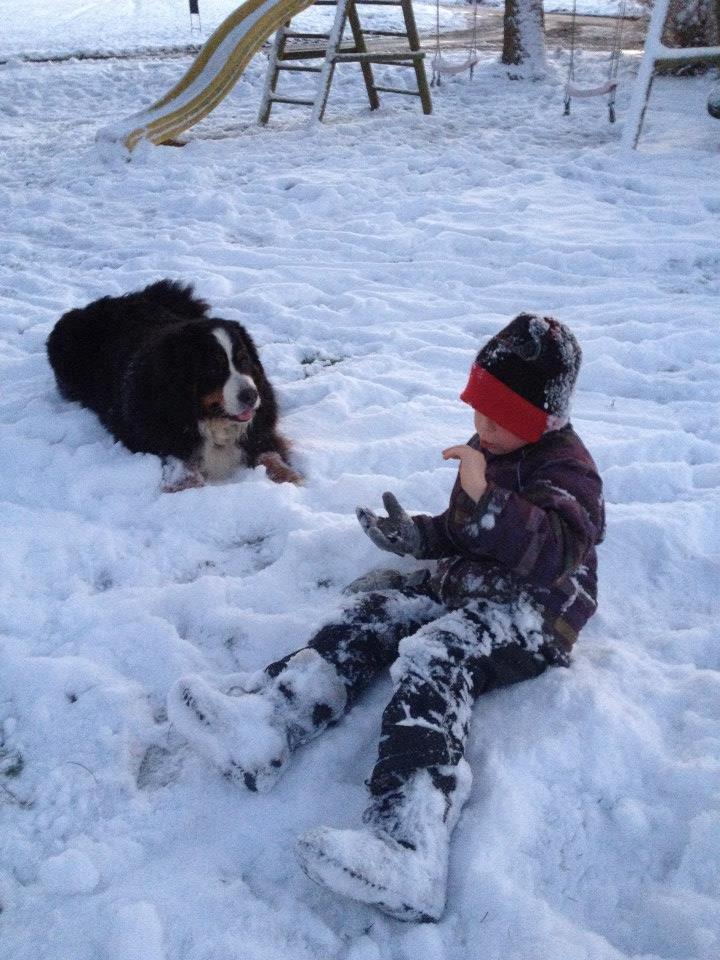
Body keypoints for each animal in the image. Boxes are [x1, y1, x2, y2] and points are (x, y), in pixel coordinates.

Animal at [47, 278, 300, 488]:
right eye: (213, 367)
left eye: (243, 360)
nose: (251, 396)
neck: (208, 418)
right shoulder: (155, 437)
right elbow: (183, 464)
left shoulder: (260, 430)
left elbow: (270, 455)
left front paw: (290, 477)